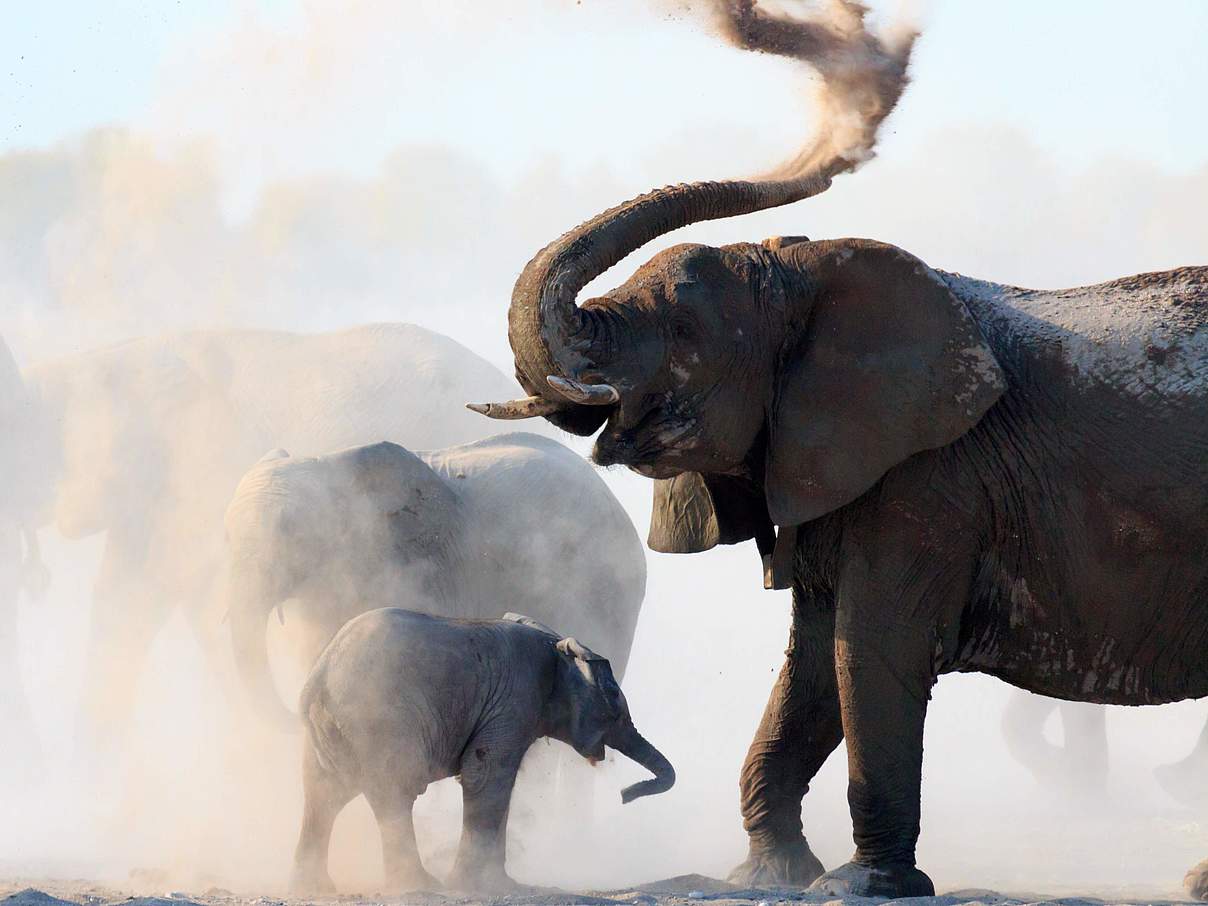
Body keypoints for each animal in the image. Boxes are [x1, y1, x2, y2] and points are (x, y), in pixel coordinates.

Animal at [288, 611, 676, 893]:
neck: (556, 645)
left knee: (324, 795)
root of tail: (318, 676)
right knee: (393, 794)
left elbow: (500, 783)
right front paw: (472, 886)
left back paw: (314, 888)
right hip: (379, 719)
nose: (625, 795)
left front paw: (503, 884)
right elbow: (487, 776)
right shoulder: (514, 700)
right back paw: (420, 886)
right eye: (614, 707)